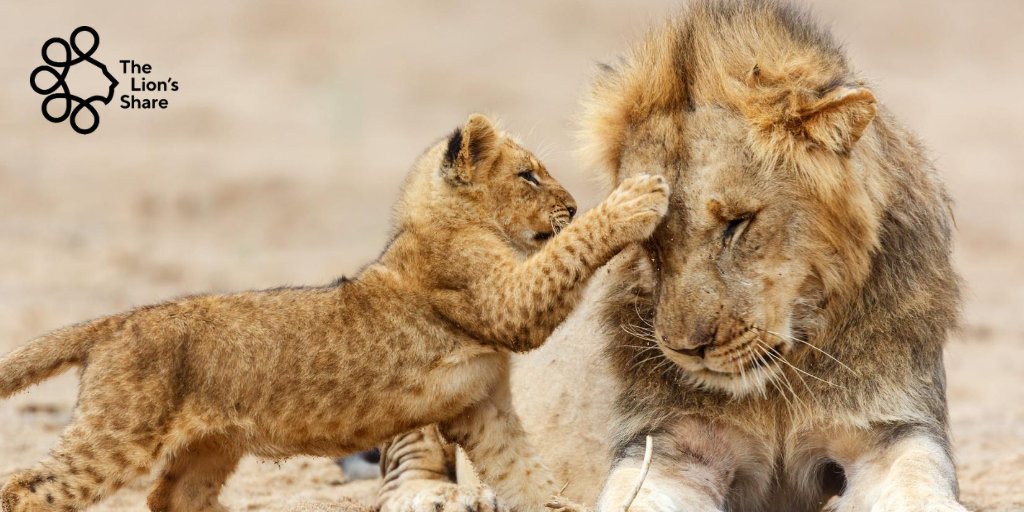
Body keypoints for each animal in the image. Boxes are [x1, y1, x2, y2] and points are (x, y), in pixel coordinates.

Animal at [0, 113, 670, 512]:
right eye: (530, 176)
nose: (573, 202)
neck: (437, 224)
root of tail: (116, 319)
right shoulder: (505, 302)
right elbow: (568, 250)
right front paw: (636, 198)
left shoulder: (484, 410)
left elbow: (527, 476)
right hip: (118, 434)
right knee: (28, 488)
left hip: (206, 447)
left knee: (171, 498)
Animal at [381, 2, 966, 511]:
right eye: (650, 240)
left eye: (737, 223)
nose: (688, 351)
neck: (779, 385)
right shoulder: (669, 444)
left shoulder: (890, 429)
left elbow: (920, 483)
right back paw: (440, 496)